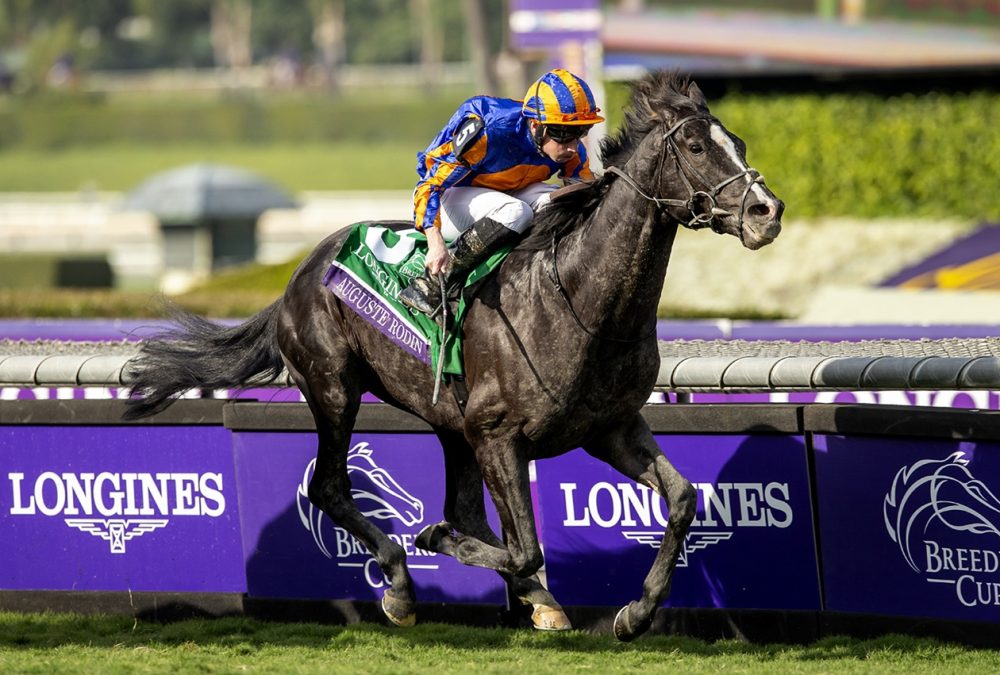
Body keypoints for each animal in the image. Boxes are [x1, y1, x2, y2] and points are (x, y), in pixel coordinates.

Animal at [123, 71, 780, 640]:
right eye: (695, 146)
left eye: (740, 142)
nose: (766, 212)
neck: (581, 303)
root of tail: (300, 271)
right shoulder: (499, 434)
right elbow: (524, 547)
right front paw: (436, 543)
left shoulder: (609, 427)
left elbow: (682, 500)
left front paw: (635, 613)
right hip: (334, 387)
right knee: (332, 488)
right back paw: (401, 585)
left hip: (451, 424)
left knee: (461, 507)